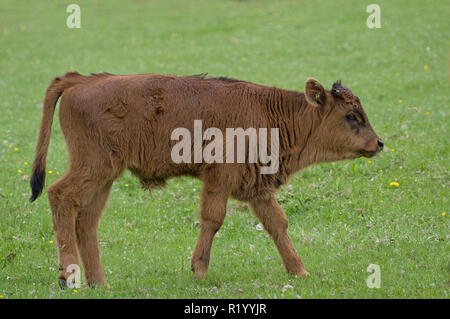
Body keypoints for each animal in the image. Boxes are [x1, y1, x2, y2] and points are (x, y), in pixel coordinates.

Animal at [29, 72, 382, 288]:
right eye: (352, 116)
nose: (378, 143)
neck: (271, 113)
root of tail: (81, 80)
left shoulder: (257, 188)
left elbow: (277, 224)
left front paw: (300, 270)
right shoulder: (220, 178)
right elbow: (213, 219)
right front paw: (198, 269)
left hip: (105, 177)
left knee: (86, 220)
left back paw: (99, 283)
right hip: (93, 168)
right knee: (60, 196)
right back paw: (67, 276)